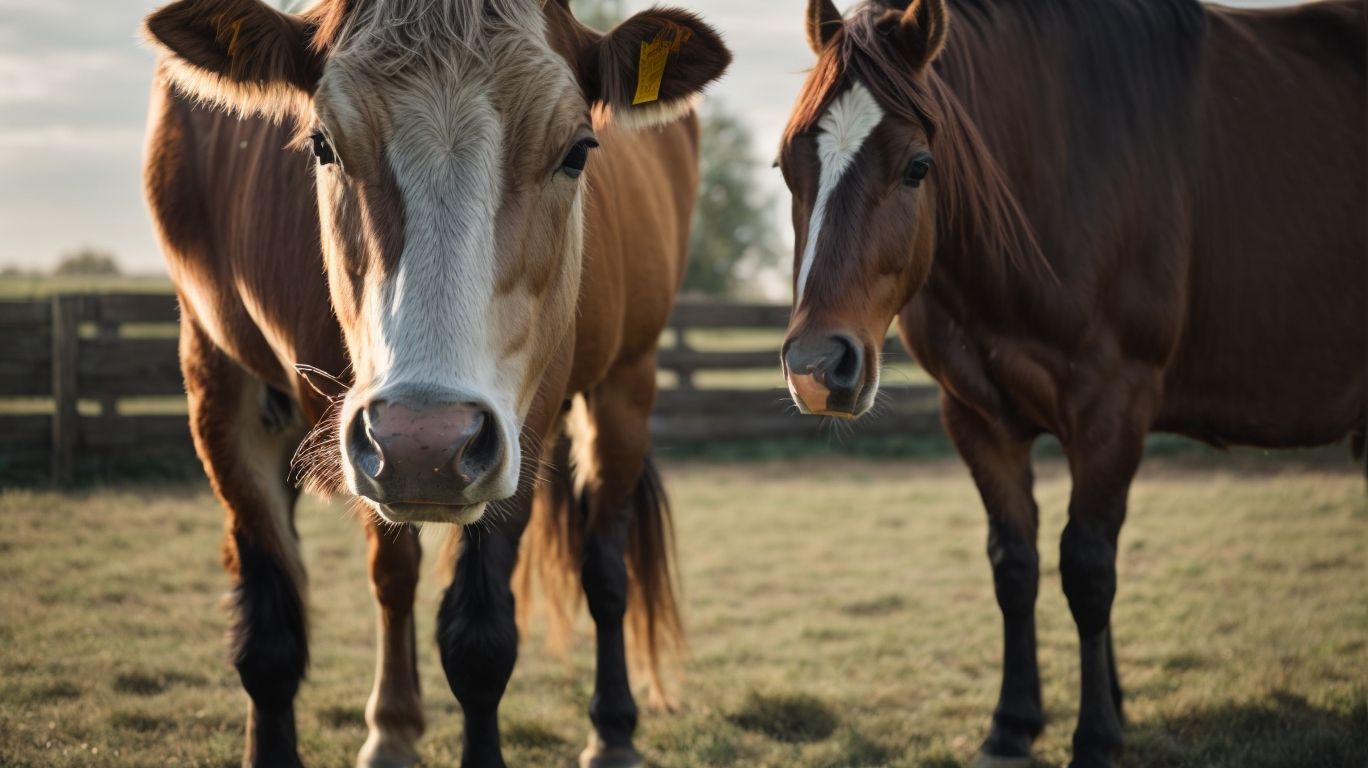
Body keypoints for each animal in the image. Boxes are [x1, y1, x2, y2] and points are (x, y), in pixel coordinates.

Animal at [140, 0, 730, 765]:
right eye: (322, 145)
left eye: (577, 150)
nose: (425, 441)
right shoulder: (221, 390)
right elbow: (275, 630)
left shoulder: (524, 424)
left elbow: (480, 644)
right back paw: (392, 728)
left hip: (625, 383)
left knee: (604, 566)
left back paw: (613, 731)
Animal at [776, 0, 1364, 765]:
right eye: (786, 166)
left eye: (917, 167)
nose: (818, 366)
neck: (1061, 176)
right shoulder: (977, 418)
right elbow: (1014, 565)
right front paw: (1013, 723)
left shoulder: (1113, 408)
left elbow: (1087, 568)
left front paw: (1096, 734)